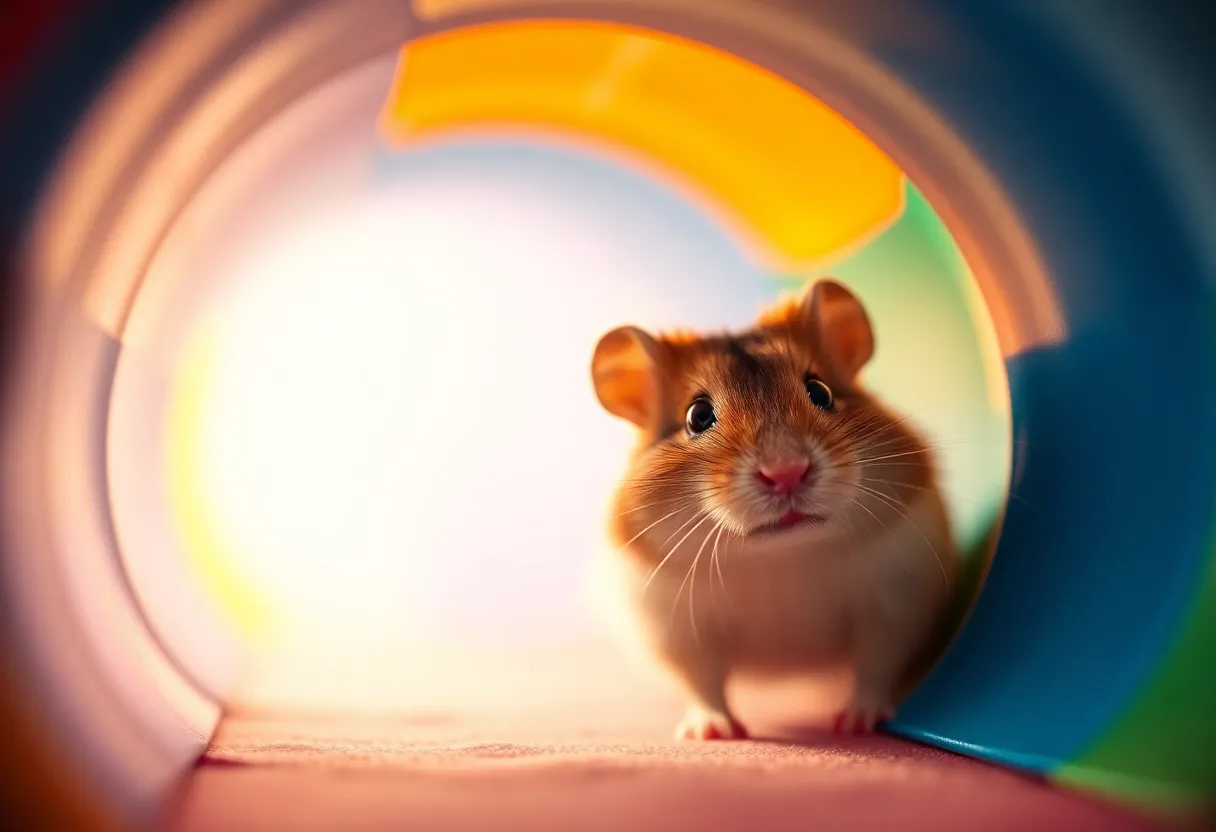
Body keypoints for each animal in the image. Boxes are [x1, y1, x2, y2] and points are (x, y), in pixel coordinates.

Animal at [590, 278, 958, 740]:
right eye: (698, 416)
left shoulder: (895, 605)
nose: (787, 472)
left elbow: (876, 667)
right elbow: (702, 683)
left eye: (820, 391)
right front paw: (714, 733)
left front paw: (856, 724)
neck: (781, 556)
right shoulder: (677, 633)